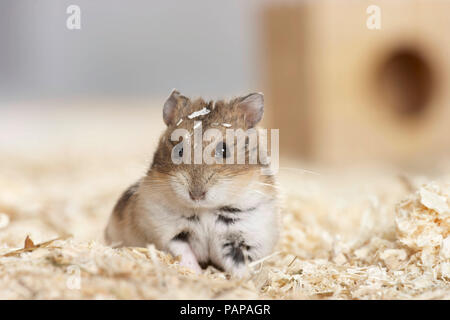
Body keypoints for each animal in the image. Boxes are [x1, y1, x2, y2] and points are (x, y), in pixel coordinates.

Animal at [106, 90, 282, 278]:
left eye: (224, 150)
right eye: (179, 150)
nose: (196, 195)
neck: (204, 209)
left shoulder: (242, 236)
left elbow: (239, 263)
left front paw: (243, 280)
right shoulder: (166, 229)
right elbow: (184, 251)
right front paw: (196, 273)